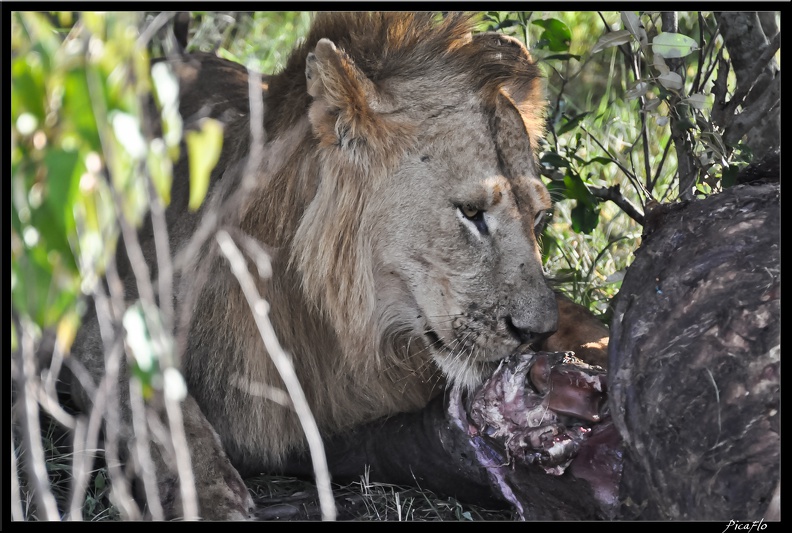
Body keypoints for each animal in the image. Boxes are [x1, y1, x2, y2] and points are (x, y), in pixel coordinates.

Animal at [69, 12, 612, 520]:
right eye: (472, 212)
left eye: (539, 217)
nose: (536, 333)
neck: (344, 325)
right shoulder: (101, 316)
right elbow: (160, 408)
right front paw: (213, 498)